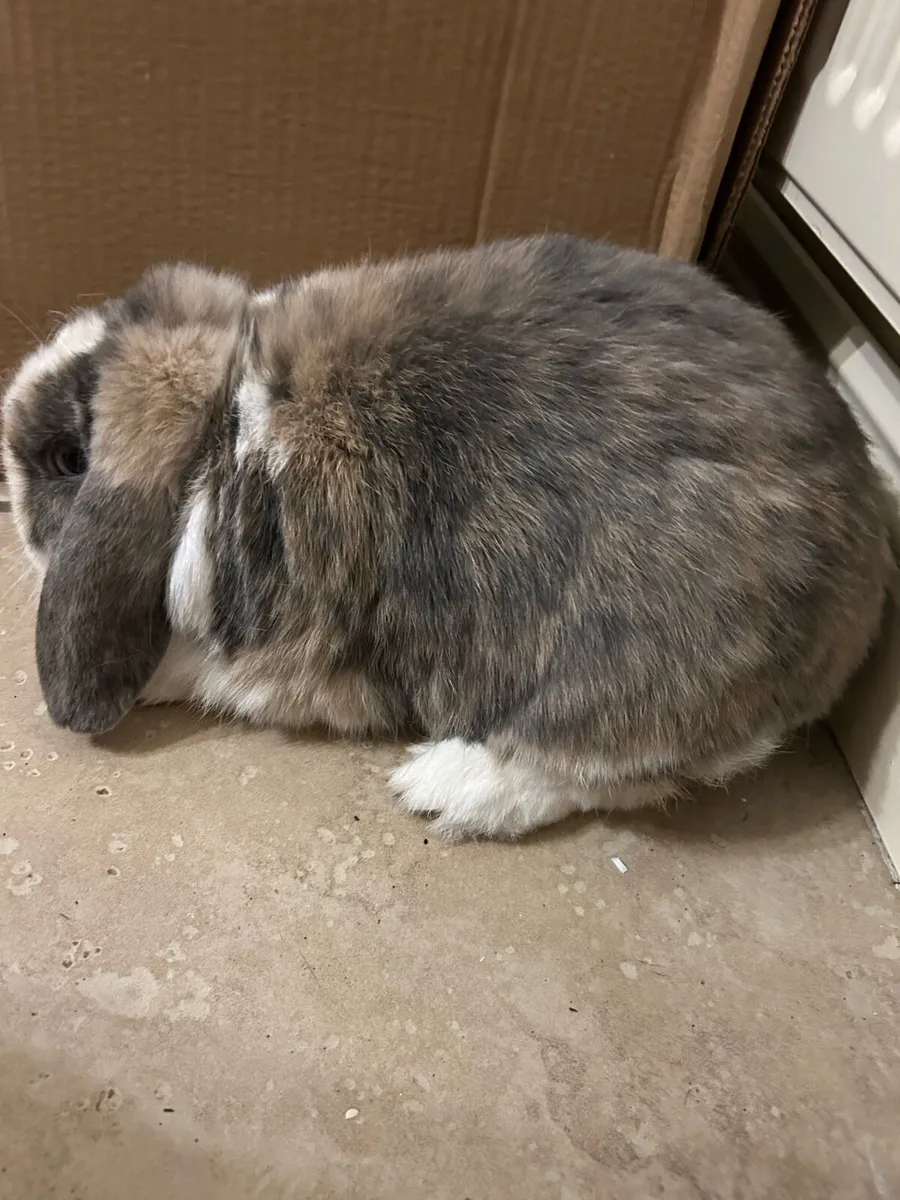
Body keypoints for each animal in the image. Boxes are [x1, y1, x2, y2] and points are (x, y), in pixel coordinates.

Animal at [1, 235, 892, 840]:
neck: (225, 434)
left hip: (628, 685)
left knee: (615, 773)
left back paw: (445, 786)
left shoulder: (280, 657)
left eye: (67, 458)